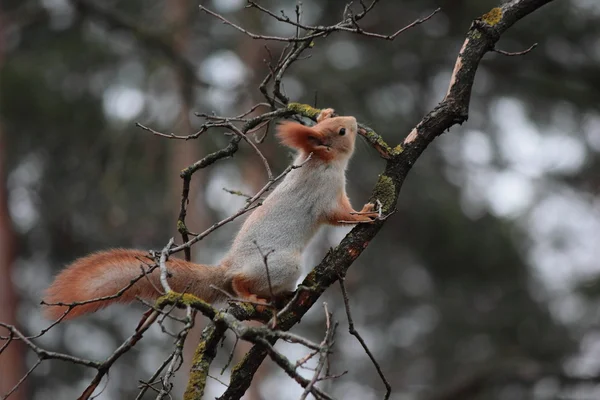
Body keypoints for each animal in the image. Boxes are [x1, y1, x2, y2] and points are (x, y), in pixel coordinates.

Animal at [43, 108, 380, 320]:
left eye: (336, 120)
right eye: (342, 130)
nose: (354, 120)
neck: (321, 162)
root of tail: (228, 269)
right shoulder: (323, 195)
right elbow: (337, 215)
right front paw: (362, 216)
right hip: (281, 264)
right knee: (240, 284)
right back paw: (250, 294)